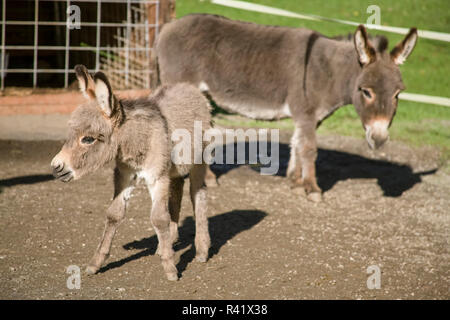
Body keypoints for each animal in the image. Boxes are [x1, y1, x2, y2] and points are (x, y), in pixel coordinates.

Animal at [51, 65, 214, 280]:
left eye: (88, 139)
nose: (56, 167)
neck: (136, 140)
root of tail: (189, 87)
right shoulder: (125, 175)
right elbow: (114, 214)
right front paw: (96, 263)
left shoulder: (157, 177)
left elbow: (158, 218)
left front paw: (170, 270)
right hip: (175, 169)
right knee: (177, 191)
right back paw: (168, 243)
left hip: (199, 161)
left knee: (198, 193)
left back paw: (202, 250)